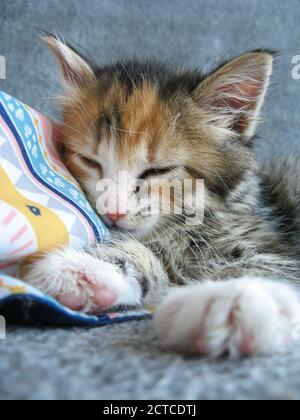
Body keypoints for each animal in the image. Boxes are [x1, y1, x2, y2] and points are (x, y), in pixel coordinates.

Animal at [24, 37, 300, 358]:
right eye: (89, 161)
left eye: (158, 170)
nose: (113, 211)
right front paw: (93, 270)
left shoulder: (276, 246)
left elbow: (258, 267)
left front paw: (236, 297)